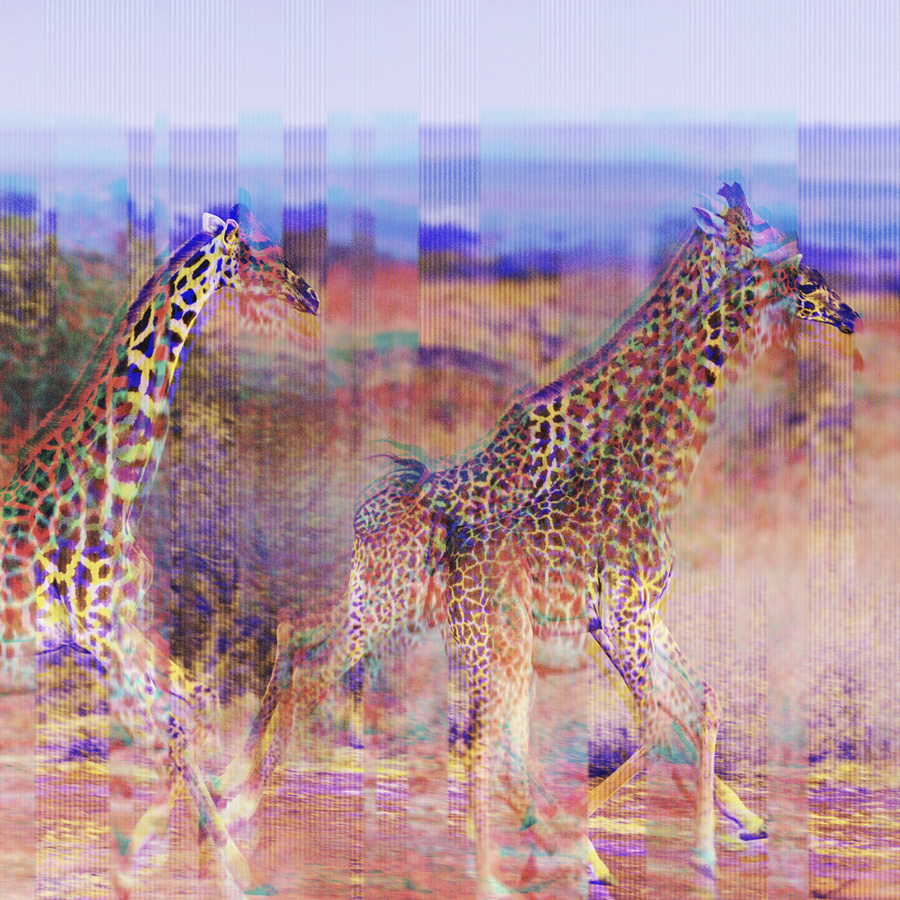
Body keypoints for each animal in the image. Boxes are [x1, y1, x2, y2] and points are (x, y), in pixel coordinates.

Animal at [0, 203, 319, 895]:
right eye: (252, 257)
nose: (308, 293)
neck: (115, 493)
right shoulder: (101, 640)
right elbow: (174, 729)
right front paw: (225, 862)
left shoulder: (120, 633)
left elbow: (193, 710)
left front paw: (180, 841)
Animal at [218, 181, 859, 895]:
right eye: (788, 263)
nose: (849, 314)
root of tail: (367, 509)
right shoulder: (614, 619)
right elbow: (653, 722)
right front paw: (594, 848)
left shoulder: (618, 620)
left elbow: (699, 707)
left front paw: (713, 840)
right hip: (416, 617)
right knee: (347, 681)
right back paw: (245, 823)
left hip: (404, 612)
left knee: (305, 641)